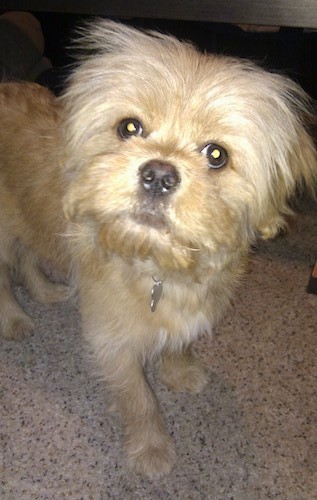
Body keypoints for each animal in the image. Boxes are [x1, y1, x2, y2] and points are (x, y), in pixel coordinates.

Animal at [0, 21, 314, 478]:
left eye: (216, 154)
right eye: (129, 128)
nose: (159, 175)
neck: (160, 266)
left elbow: (178, 344)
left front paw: (180, 374)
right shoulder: (113, 343)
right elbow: (140, 401)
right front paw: (151, 450)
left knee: (26, 259)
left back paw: (46, 292)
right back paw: (14, 319)